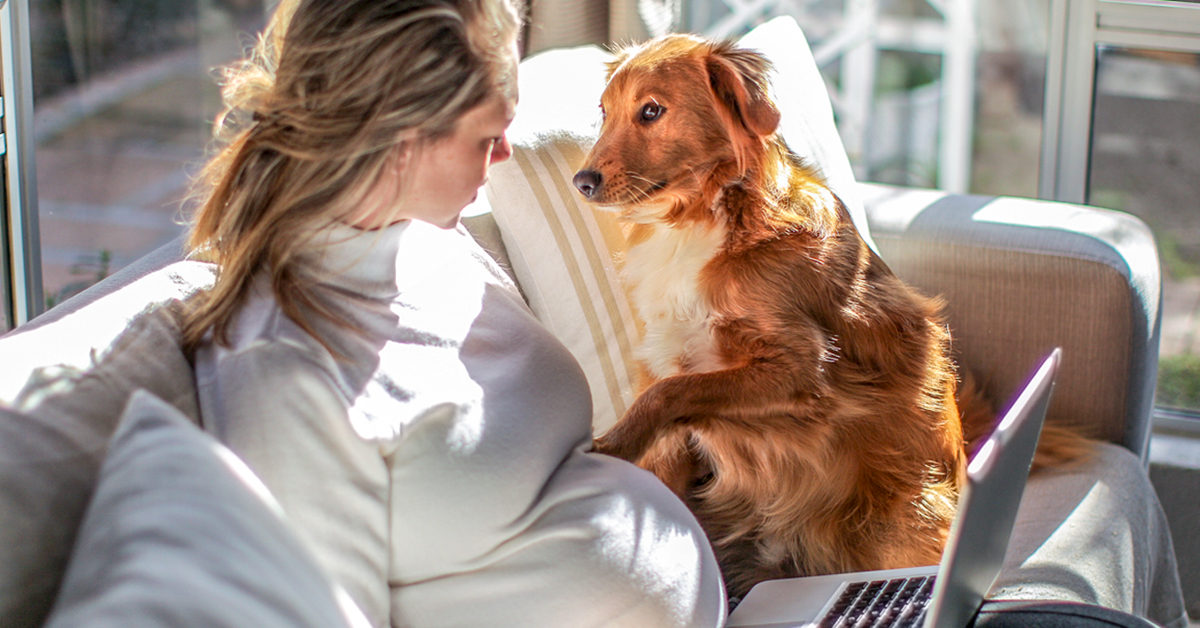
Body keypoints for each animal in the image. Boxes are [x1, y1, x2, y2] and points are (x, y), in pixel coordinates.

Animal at [571, 33, 1032, 600]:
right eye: (605, 112)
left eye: (652, 111)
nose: (581, 181)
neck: (707, 215)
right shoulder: (669, 364)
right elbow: (665, 436)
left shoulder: (801, 369)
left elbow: (672, 395)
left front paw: (612, 444)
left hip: (905, 520)